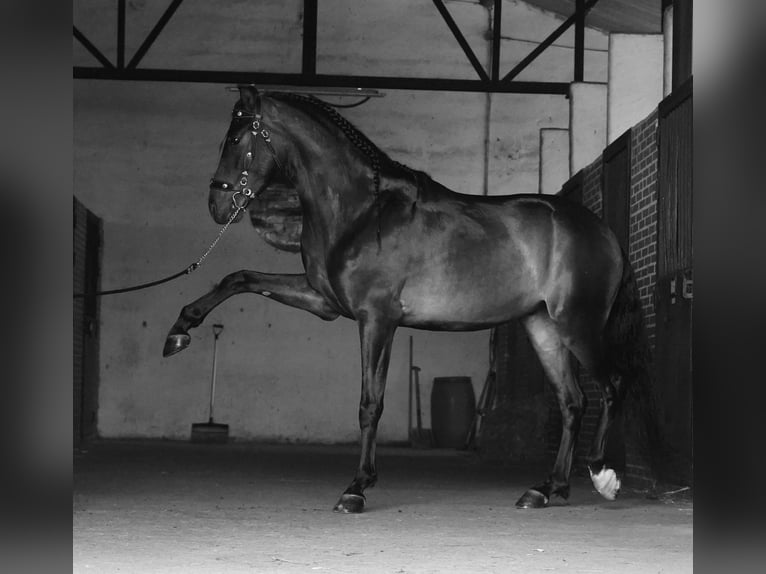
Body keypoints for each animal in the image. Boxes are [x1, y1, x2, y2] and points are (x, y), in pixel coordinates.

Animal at [164, 86, 662, 513]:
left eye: (235, 138)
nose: (216, 206)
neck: (362, 211)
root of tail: (603, 231)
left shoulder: (376, 319)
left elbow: (370, 403)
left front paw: (356, 489)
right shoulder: (325, 302)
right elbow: (240, 277)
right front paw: (180, 331)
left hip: (578, 326)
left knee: (612, 386)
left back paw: (601, 477)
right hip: (543, 329)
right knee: (572, 402)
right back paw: (545, 489)